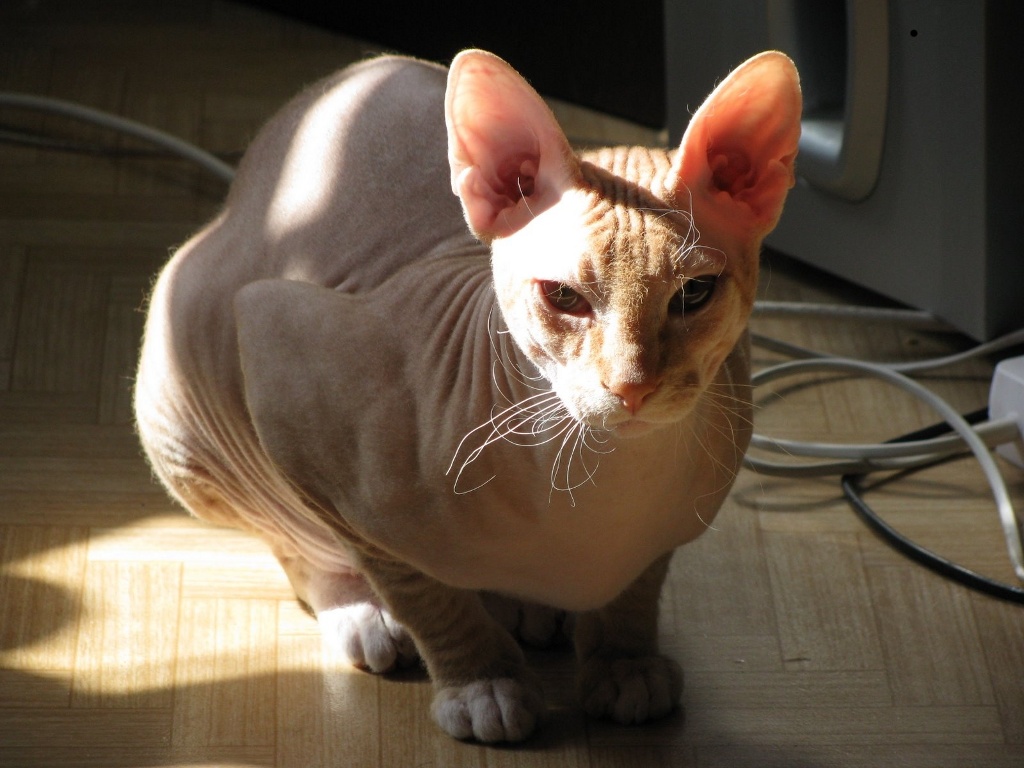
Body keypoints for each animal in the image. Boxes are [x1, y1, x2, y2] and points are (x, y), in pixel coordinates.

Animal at [133, 48, 801, 742]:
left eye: (694, 294)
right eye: (564, 297)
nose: (631, 386)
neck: (598, 488)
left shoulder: (672, 521)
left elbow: (640, 583)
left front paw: (625, 662)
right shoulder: (282, 357)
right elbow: (421, 592)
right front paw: (483, 681)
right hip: (185, 392)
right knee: (290, 539)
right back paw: (361, 613)